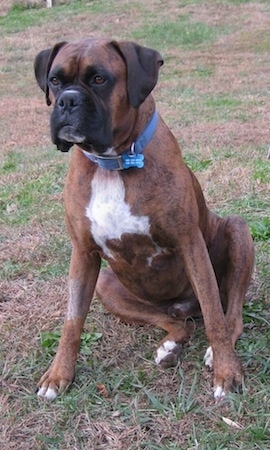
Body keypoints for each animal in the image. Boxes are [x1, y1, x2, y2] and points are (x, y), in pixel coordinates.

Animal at [34, 38, 255, 402]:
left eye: (99, 79)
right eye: (54, 80)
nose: (68, 100)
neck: (114, 162)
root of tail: (182, 305)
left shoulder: (190, 244)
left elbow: (214, 315)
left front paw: (227, 372)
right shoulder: (83, 254)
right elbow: (72, 320)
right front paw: (58, 374)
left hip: (237, 230)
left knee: (227, 315)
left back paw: (214, 350)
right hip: (109, 286)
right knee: (178, 324)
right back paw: (169, 346)